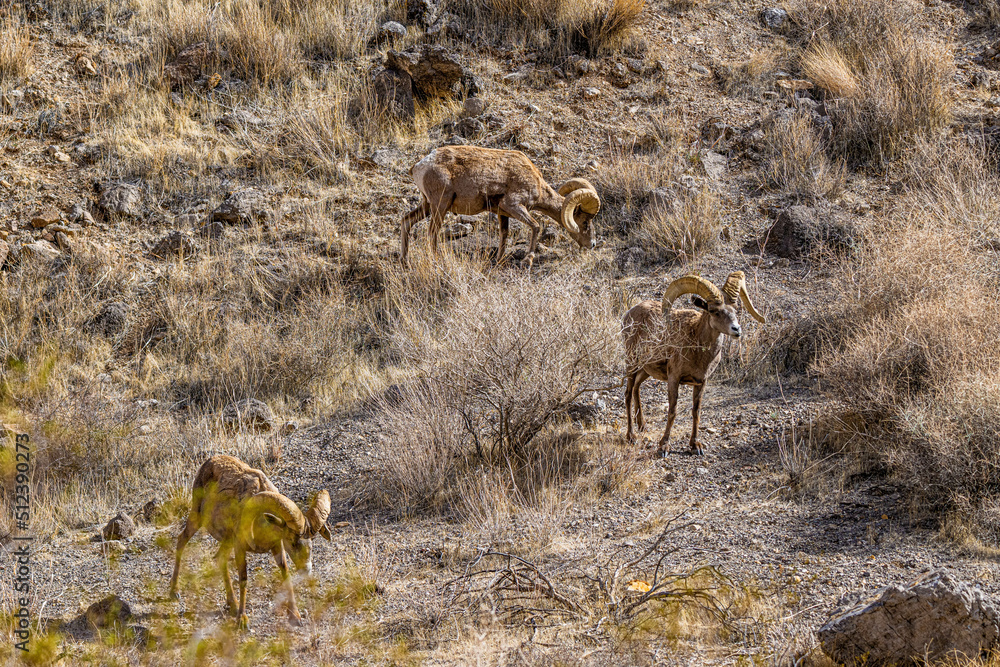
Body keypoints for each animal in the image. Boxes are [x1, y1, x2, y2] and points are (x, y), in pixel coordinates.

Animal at [168, 454, 332, 629]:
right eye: (291, 539)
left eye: (312, 539)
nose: (306, 569)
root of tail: (210, 461)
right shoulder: (240, 548)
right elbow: (243, 580)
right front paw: (242, 620)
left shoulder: (276, 547)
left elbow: (285, 573)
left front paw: (295, 616)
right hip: (197, 518)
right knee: (181, 541)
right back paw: (174, 592)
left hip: (226, 541)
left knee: (220, 559)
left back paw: (232, 605)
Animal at [399, 145, 601, 266]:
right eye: (584, 222)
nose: (592, 244)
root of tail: (419, 166)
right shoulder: (513, 205)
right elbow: (536, 226)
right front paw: (528, 260)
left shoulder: (502, 213)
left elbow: (504, 235)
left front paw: (498, 261)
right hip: (439, 206)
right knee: (432, 232)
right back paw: (436, 260)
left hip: (427, 206)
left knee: (406, 221)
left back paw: (405, 261)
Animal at [622, 271, 766, 456]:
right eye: (713, 311)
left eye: (735, 310)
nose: (736, 330)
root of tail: (629, 313)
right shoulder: (674, 379)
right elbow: (672, 411)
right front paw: (664, 447)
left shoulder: (701, 382)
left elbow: (696, 412)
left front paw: (696, 445)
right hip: (631, 363)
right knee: (627, 394)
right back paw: (631, 436)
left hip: (646, 370)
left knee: (636, 389)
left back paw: (642, 426)